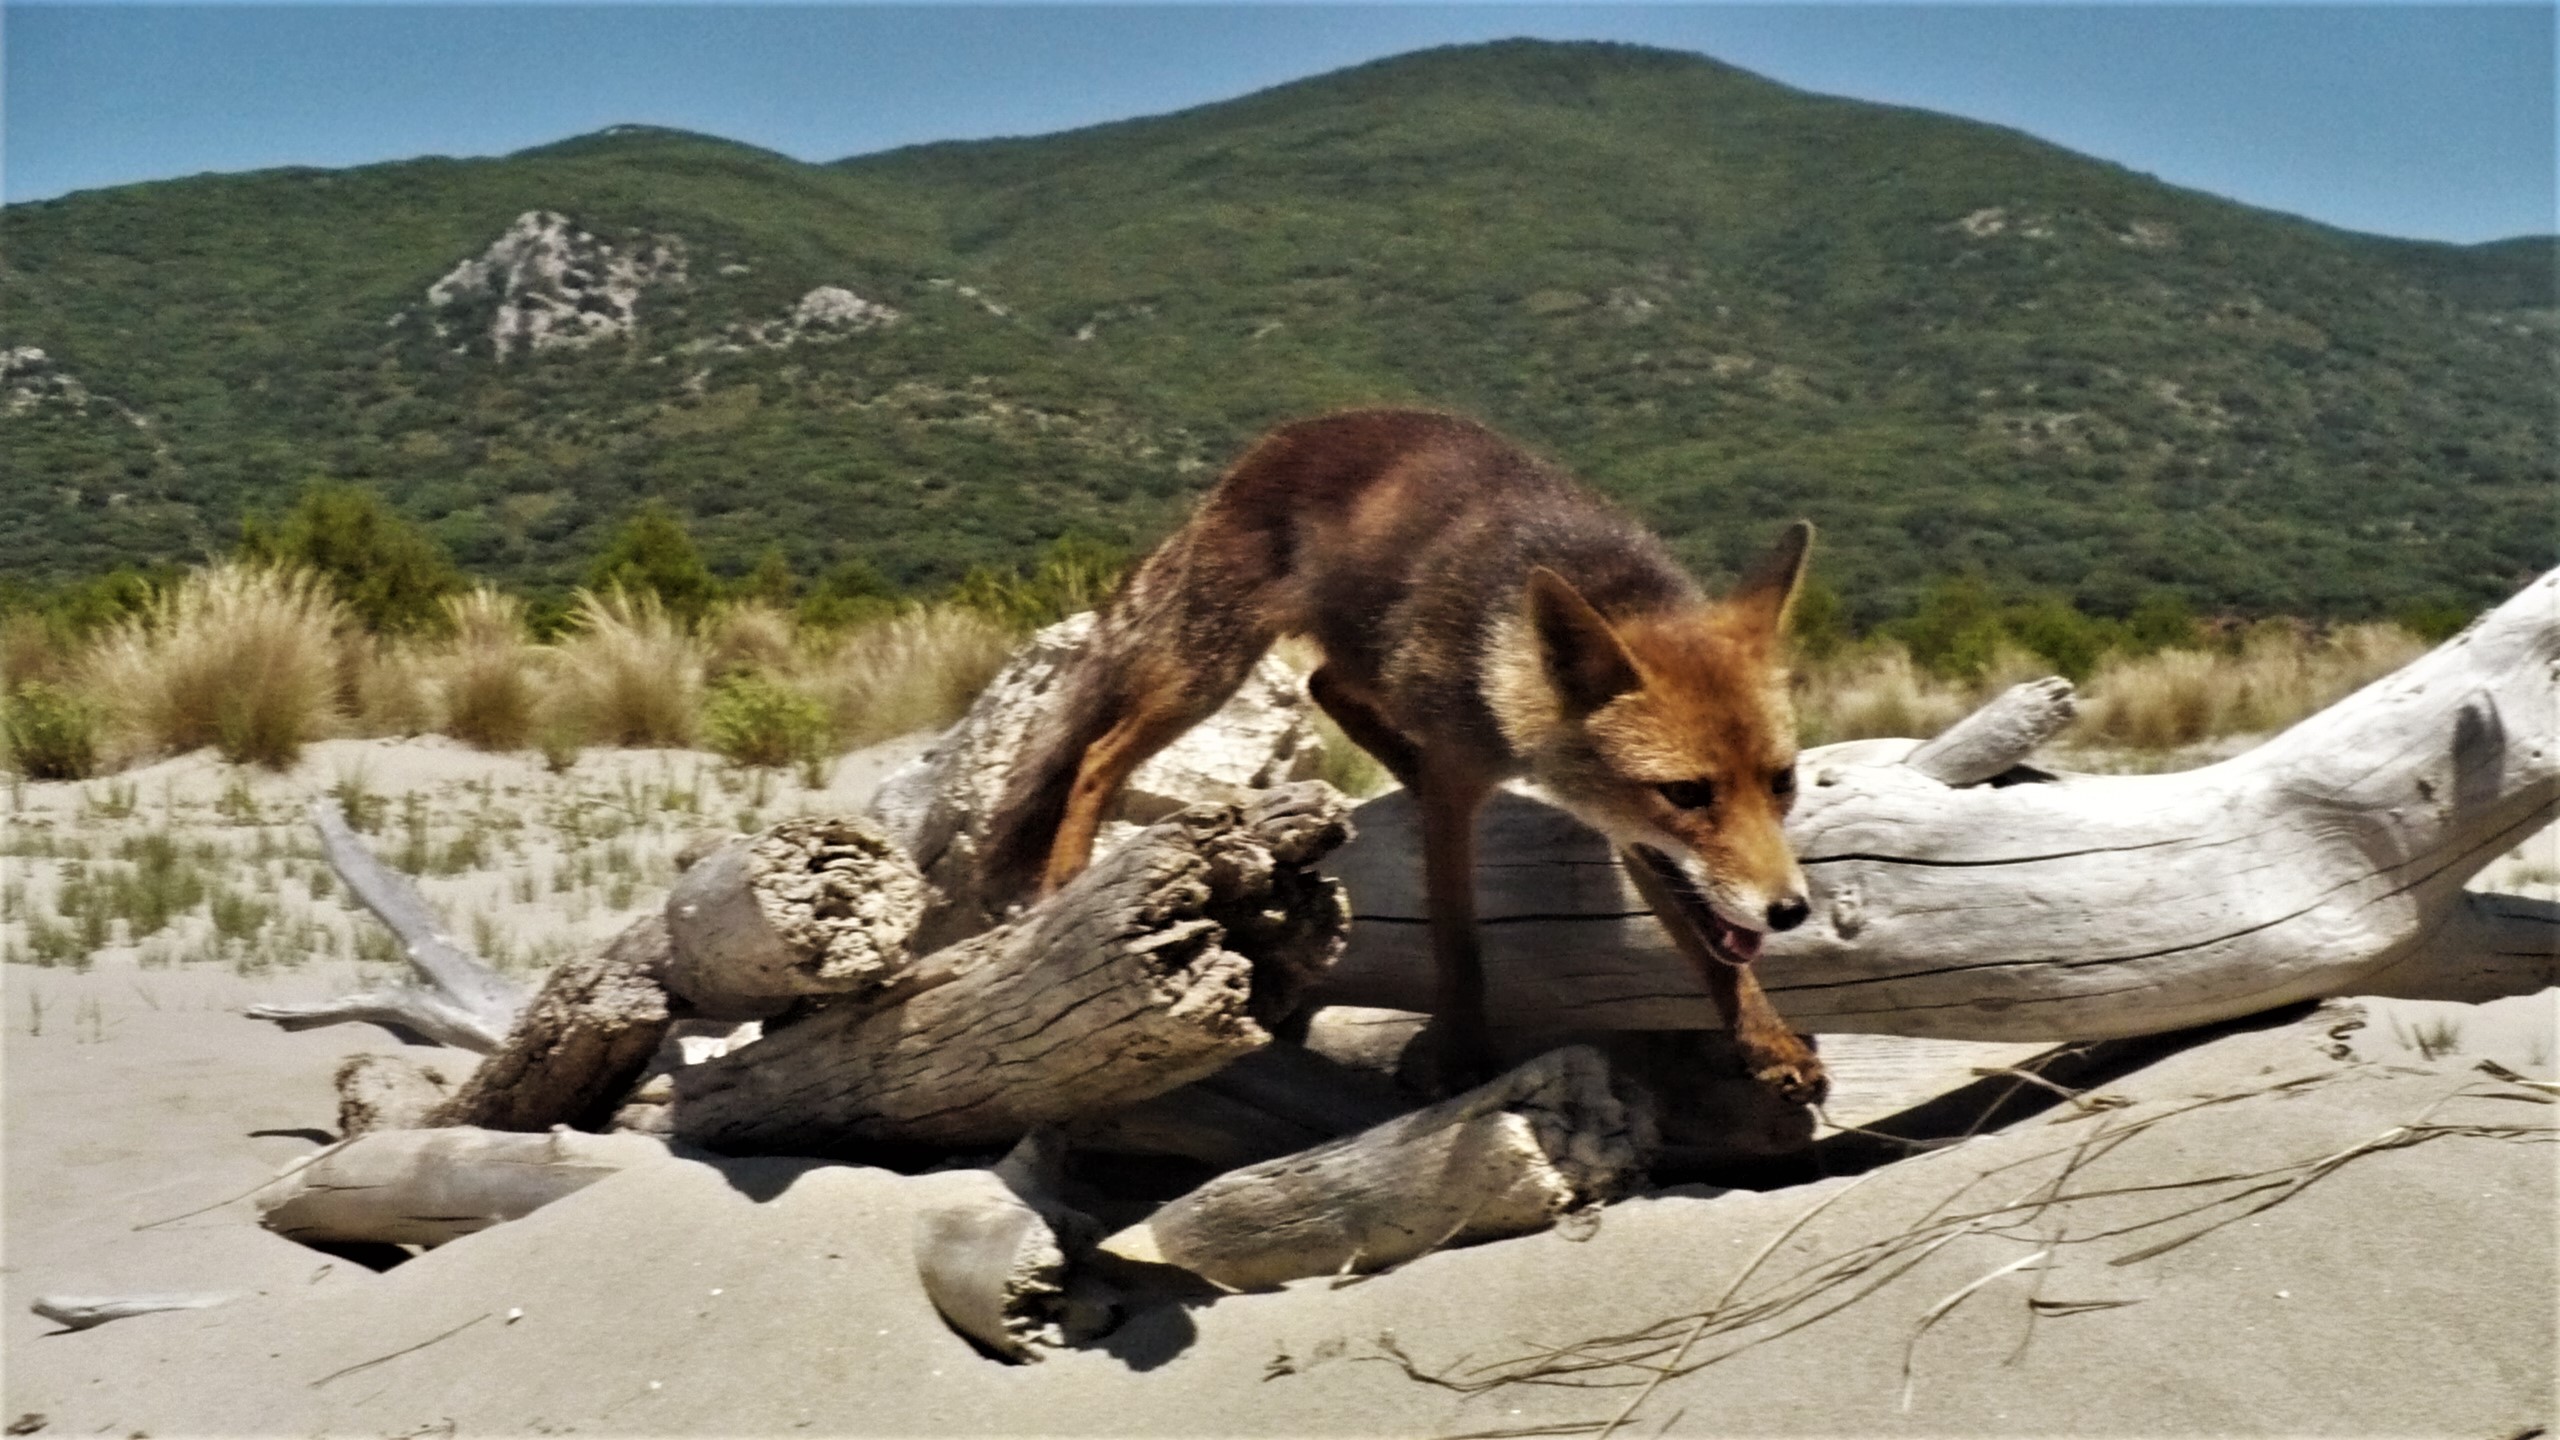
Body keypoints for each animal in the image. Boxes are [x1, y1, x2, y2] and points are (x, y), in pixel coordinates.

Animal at [983, 408, 1826, 1100]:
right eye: (1687, 794)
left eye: (1781, 782)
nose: (1790, 910)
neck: (1505, 668)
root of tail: (1278, 441)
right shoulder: (1461, 786)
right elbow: (1457, 937)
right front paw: (1463, 1055)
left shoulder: (1630, 832)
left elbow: (1713, 952)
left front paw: (1765, 1040)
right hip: (1212, 669)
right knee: (1098, 753)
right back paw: (1066, 872)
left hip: (1351, 651)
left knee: (1323, 684)